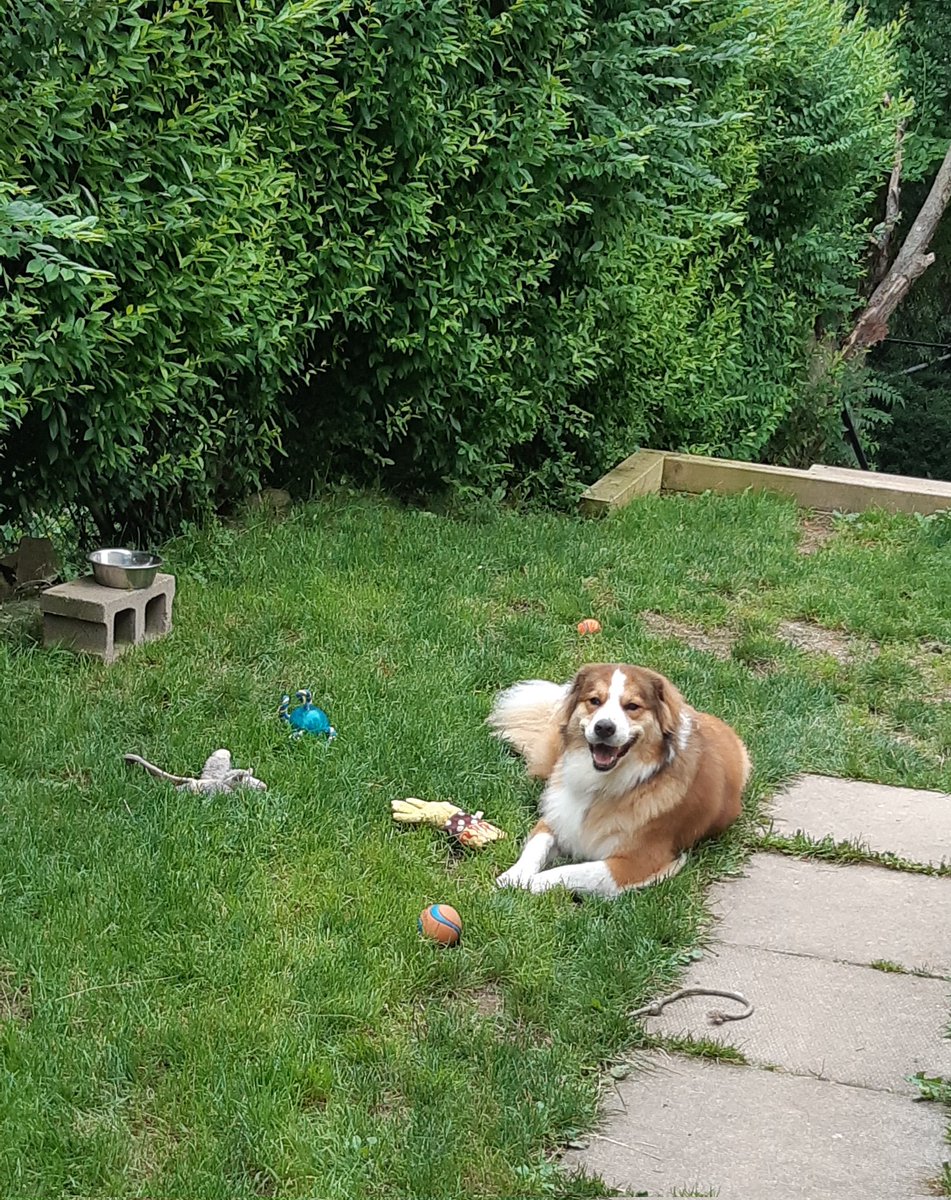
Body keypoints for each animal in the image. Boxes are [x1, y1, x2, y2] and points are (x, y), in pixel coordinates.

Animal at [489, 667, 749, 902]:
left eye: (632, 706)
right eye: (595, 701)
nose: (604, 727)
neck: (601, 785)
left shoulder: (637, 862)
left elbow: (575, 871)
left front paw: (529, 883)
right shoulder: (557, 817)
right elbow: (537, 846)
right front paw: (514, 876)